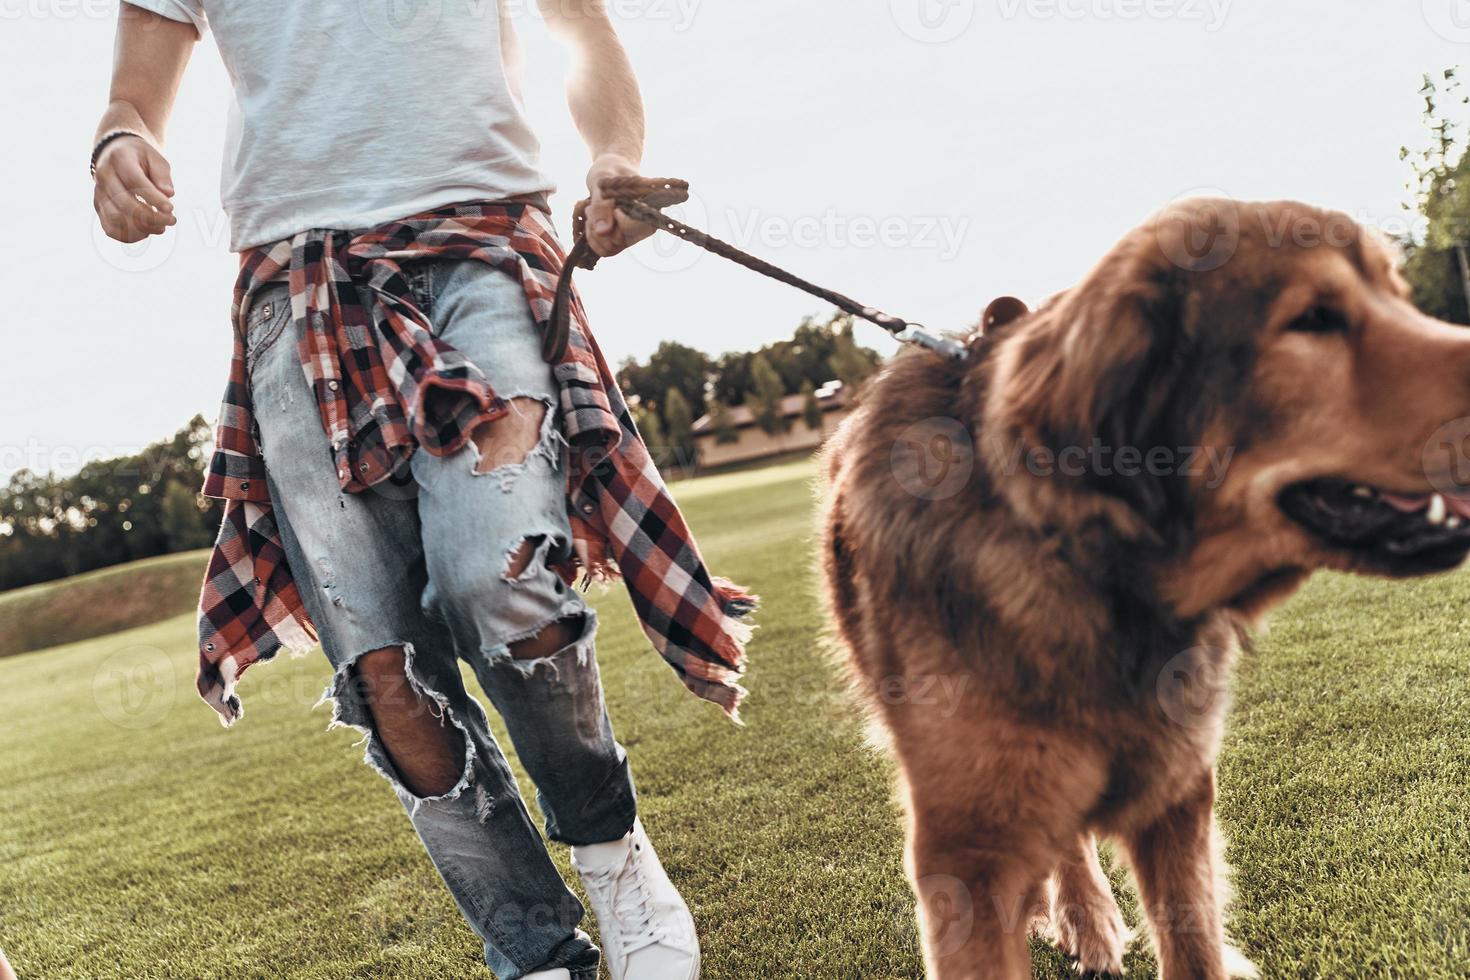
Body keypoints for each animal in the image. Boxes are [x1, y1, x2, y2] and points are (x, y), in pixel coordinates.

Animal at [823, 201, 1470, 980]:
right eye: (1314, 318)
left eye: (1401, 297)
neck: (1097, 579)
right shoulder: (966, 857)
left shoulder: (1179, 794)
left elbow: (1192, 943)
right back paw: (1088, 920)